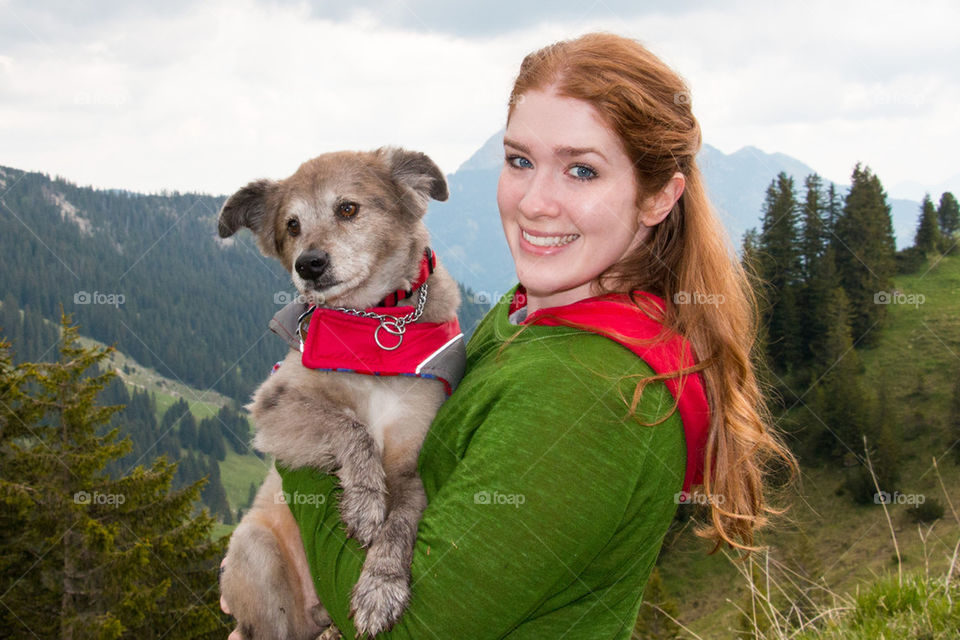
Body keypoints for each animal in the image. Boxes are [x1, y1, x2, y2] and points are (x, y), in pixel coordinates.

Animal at [218, 149, 464, 640]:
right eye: (292, 226)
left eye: (347, 208)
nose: (308, 265)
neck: (374, 325)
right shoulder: (274, 405)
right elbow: (350, 425)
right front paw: (365, 501)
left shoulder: (412, 463)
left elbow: (401, 523)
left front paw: (381, 586)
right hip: (256, 552)